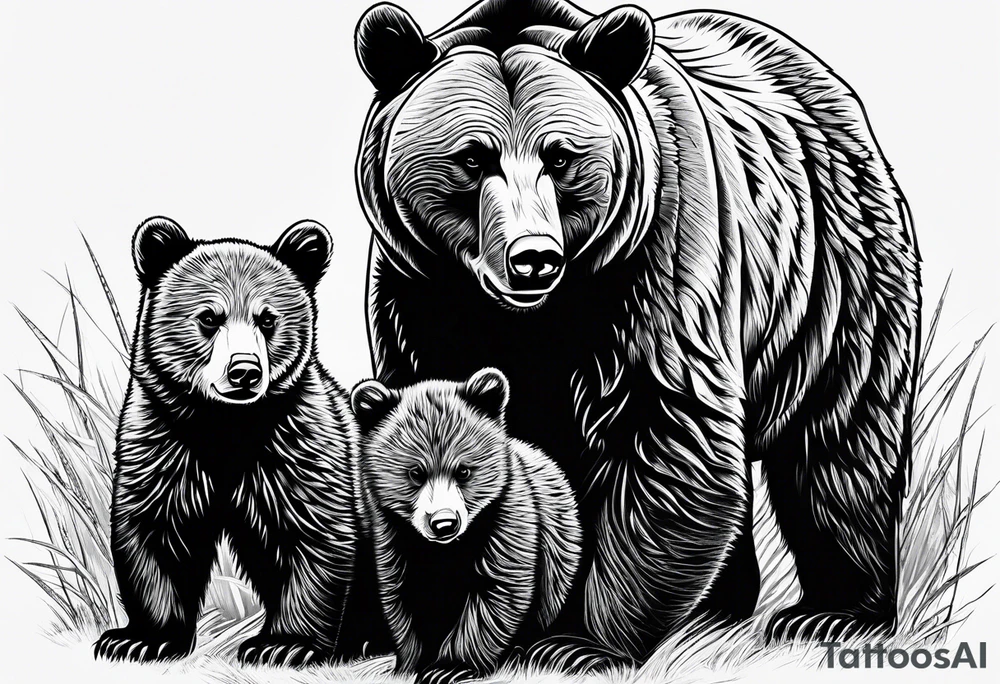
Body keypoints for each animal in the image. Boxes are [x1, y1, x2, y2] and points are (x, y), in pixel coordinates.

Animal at [94, 217, 358, 666]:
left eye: (267, 319)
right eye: (208, 317)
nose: (244, 371)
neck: (226, 426)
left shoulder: (295, 444)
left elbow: (315, 532)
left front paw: (284, 644)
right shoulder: (165, 441)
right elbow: (155, 530)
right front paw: (141, 639)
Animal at [350, 368, 582, 684]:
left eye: (463, 470)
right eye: (415, 472)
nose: (444, 523)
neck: (445, 551)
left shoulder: (505, 522)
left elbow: (496, 592)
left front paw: (449, 666)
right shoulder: (395, 536)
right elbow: (401, 596)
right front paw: (410, 663)